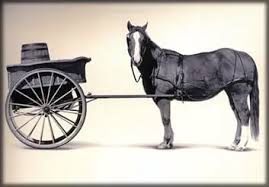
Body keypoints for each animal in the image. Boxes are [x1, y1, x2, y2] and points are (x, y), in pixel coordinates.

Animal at [125, 21, 258, 151]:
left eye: (145, 40)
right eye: (128, 38)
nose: (136, 60)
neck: (157, 63)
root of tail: (244, 56)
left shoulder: (163, 97)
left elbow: (165, 119)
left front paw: (165, 143)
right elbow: (167, 118)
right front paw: (170, 141)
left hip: (239, 92)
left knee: (244, 114)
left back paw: (241, 145)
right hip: (231, 92)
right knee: (238, 115)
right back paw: (234, 143)